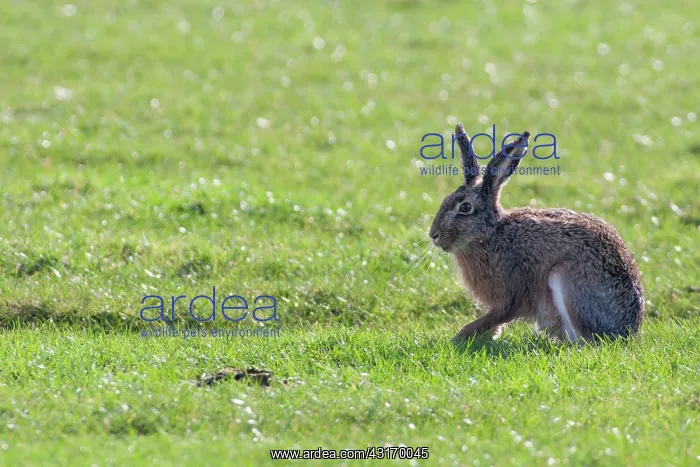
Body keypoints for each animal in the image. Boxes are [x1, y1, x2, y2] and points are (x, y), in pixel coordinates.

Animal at [429, 123, 644, 343]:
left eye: (465, 207)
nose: (433, 234)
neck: (490, 234)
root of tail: (628, 328)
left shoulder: (512, 290)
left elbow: (500, 313)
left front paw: (462, 335)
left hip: (564, 278)